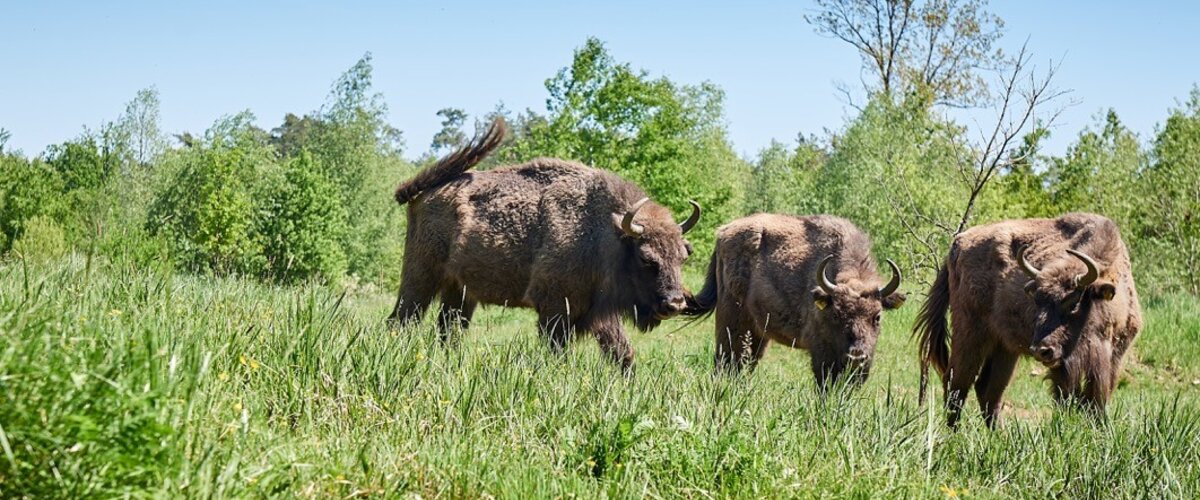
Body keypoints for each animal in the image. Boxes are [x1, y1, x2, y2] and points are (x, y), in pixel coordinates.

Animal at [384, 118, 700, 369]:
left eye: (683, 256)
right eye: (646, 258)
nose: (674, 303)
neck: (605, 230)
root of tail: (422, 194)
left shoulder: (597, 312)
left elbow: (622, 352)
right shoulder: (555, 309)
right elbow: (560, 351)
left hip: (460, 291)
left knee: (448, 328)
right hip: (421, 277)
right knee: (403, 319)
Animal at [681, 212, 902, 388]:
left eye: (877, 317)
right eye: (836, 315)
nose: (856, 355)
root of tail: (722, 233)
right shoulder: (821, 352)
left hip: (758, 333)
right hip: (731, 323)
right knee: (725, 361)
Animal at [916, 212, 1142, 426]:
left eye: (1073, 302)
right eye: (1038, 300)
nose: (1042, 350)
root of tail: (958, 243)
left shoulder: (1112, 359)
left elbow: (1097, 402)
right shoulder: (1064, 368)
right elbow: (1067, 399)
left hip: (1005, 348)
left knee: (988, 389)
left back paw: (999, 434)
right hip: (971, 334)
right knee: (957, 383)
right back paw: (954, 433)